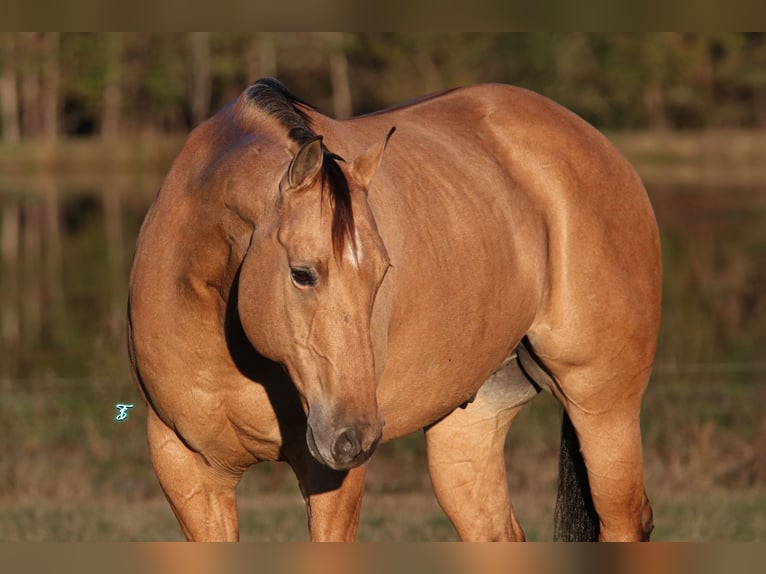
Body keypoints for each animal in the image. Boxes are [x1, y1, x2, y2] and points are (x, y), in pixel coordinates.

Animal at [129, 79, 664, 544]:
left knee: (623, 520)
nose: (356, 436)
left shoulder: (328, 474)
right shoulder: (186, 468)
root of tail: (598, 144)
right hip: (468, 430)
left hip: (603, 407)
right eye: (302, 273)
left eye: (383, 271)